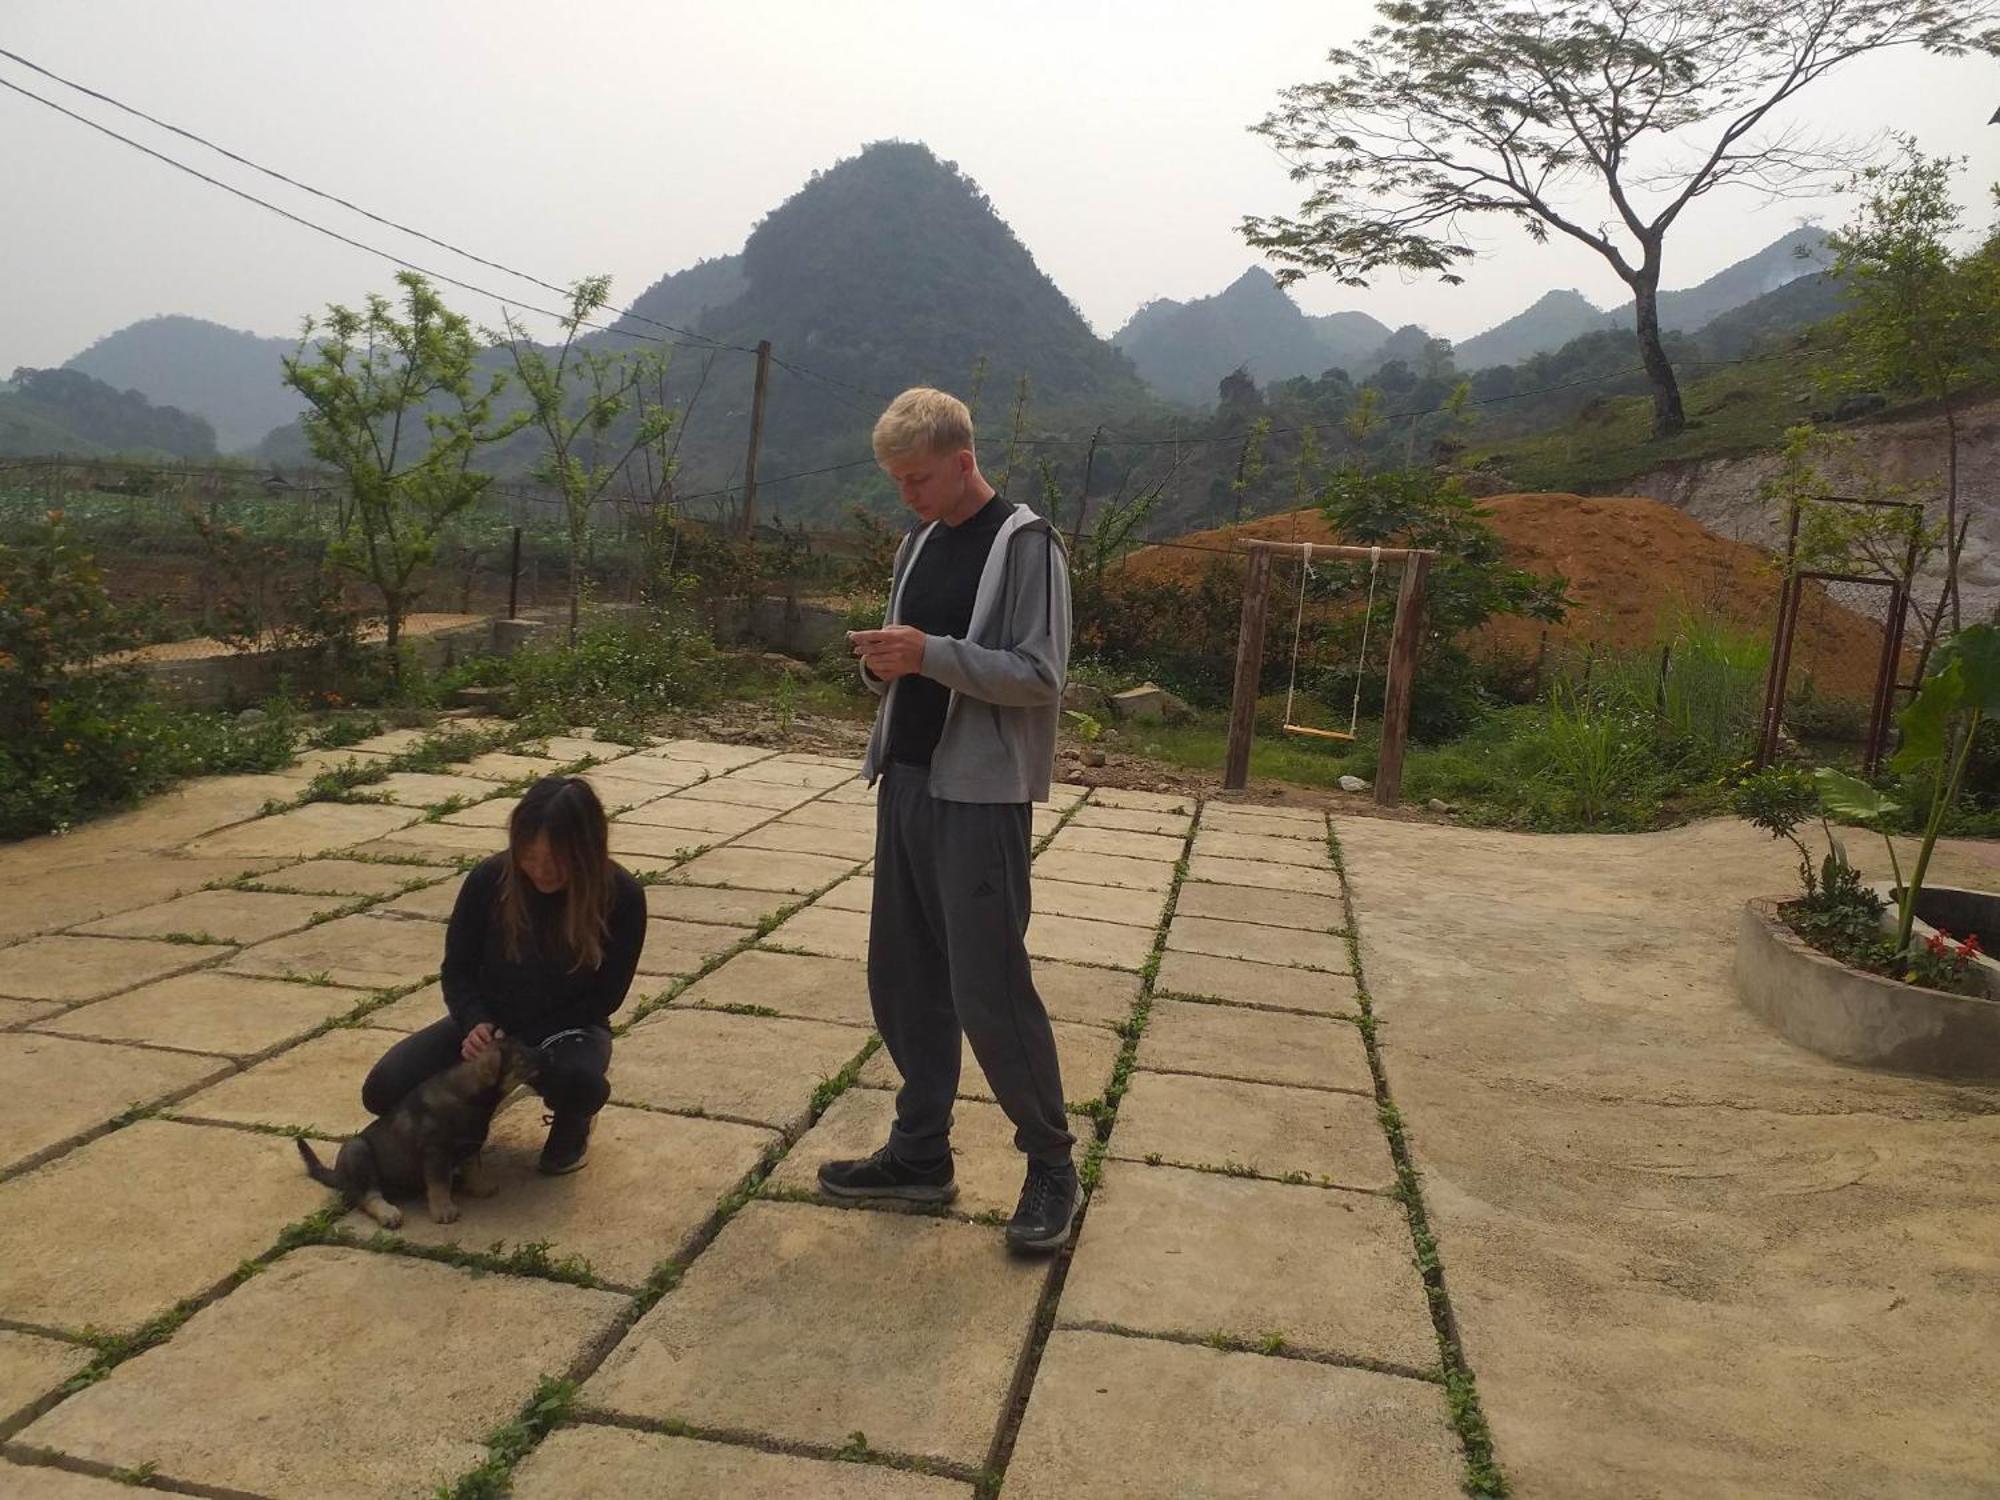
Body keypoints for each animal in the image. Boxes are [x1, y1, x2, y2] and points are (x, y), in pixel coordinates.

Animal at [290, 1032, 540, 1232]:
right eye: (521, 1058)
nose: (544, 1055)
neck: (470, 1097)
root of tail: (338, 1175)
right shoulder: (435, 1152)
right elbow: (439, 1184)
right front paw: (443, 1211)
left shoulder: (469, 1144)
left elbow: (473, 1167)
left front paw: (480, 1187)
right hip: (357, 1151)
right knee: (368, 1196)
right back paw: (389, 1213)